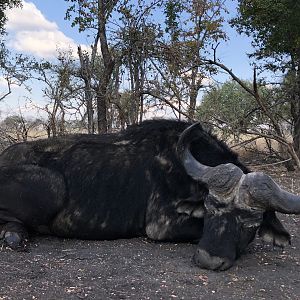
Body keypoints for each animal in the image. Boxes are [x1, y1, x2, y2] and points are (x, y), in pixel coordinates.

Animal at [0, 118, 300, 270]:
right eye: (210, 207)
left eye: (251, 222)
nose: (208, 260)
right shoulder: (161, 226)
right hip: (54, 185)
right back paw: (13, 235)